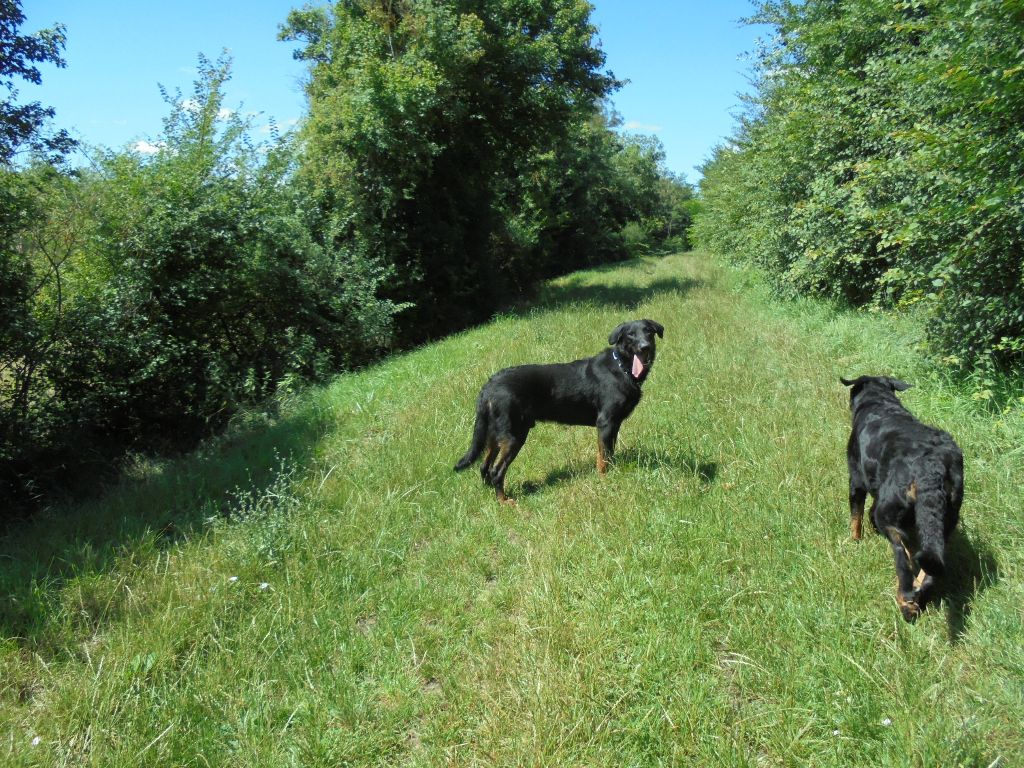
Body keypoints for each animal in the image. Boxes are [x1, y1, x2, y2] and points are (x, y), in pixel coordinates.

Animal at [456, 319, 663, 505]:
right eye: (630, 334)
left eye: (648, 331)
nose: (645, 347)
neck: (622, 368)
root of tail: (488, 387)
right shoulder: (606, 422)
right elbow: (603, 457)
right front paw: (605, 480)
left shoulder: (614, 424)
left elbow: (609, 453)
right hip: (514, 435)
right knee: (496, 471)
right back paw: (504, 501)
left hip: (494, 435)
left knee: (484, 466)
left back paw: (489, 494)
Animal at [839, 378, 958, 626]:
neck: (880, 402)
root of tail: (932, 467)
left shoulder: (856, 480)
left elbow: (856, 516)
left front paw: (854, 541)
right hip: (946, 522)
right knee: (928, 570)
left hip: (889, 516)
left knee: (904, 561)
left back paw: (905, 602)